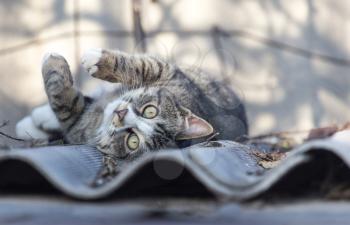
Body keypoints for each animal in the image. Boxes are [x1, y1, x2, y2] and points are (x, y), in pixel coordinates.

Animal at [17, 48, 249, 162]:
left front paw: (53, 61)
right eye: (150, 111)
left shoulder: (78, 126)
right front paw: (97, 61)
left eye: (133, 142)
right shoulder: (172, 75)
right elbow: (143, 65)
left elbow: (64, 100)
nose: (120, 114)